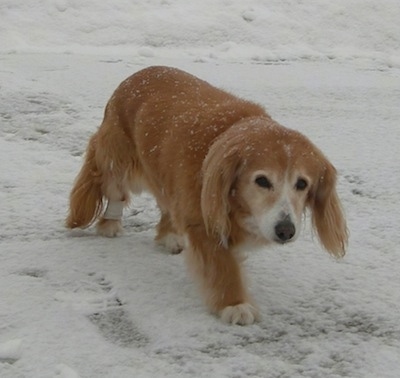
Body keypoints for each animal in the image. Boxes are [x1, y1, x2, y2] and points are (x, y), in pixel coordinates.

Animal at [65, 65, 346, 324]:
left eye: (302, 184)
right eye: (262, 181)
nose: (285, 230)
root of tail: (138, 74)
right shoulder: (203, 222)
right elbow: (221, 266)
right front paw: (234, 303)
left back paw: (169, 235)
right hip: (118, 156)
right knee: (114, 187)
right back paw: (110, 224)